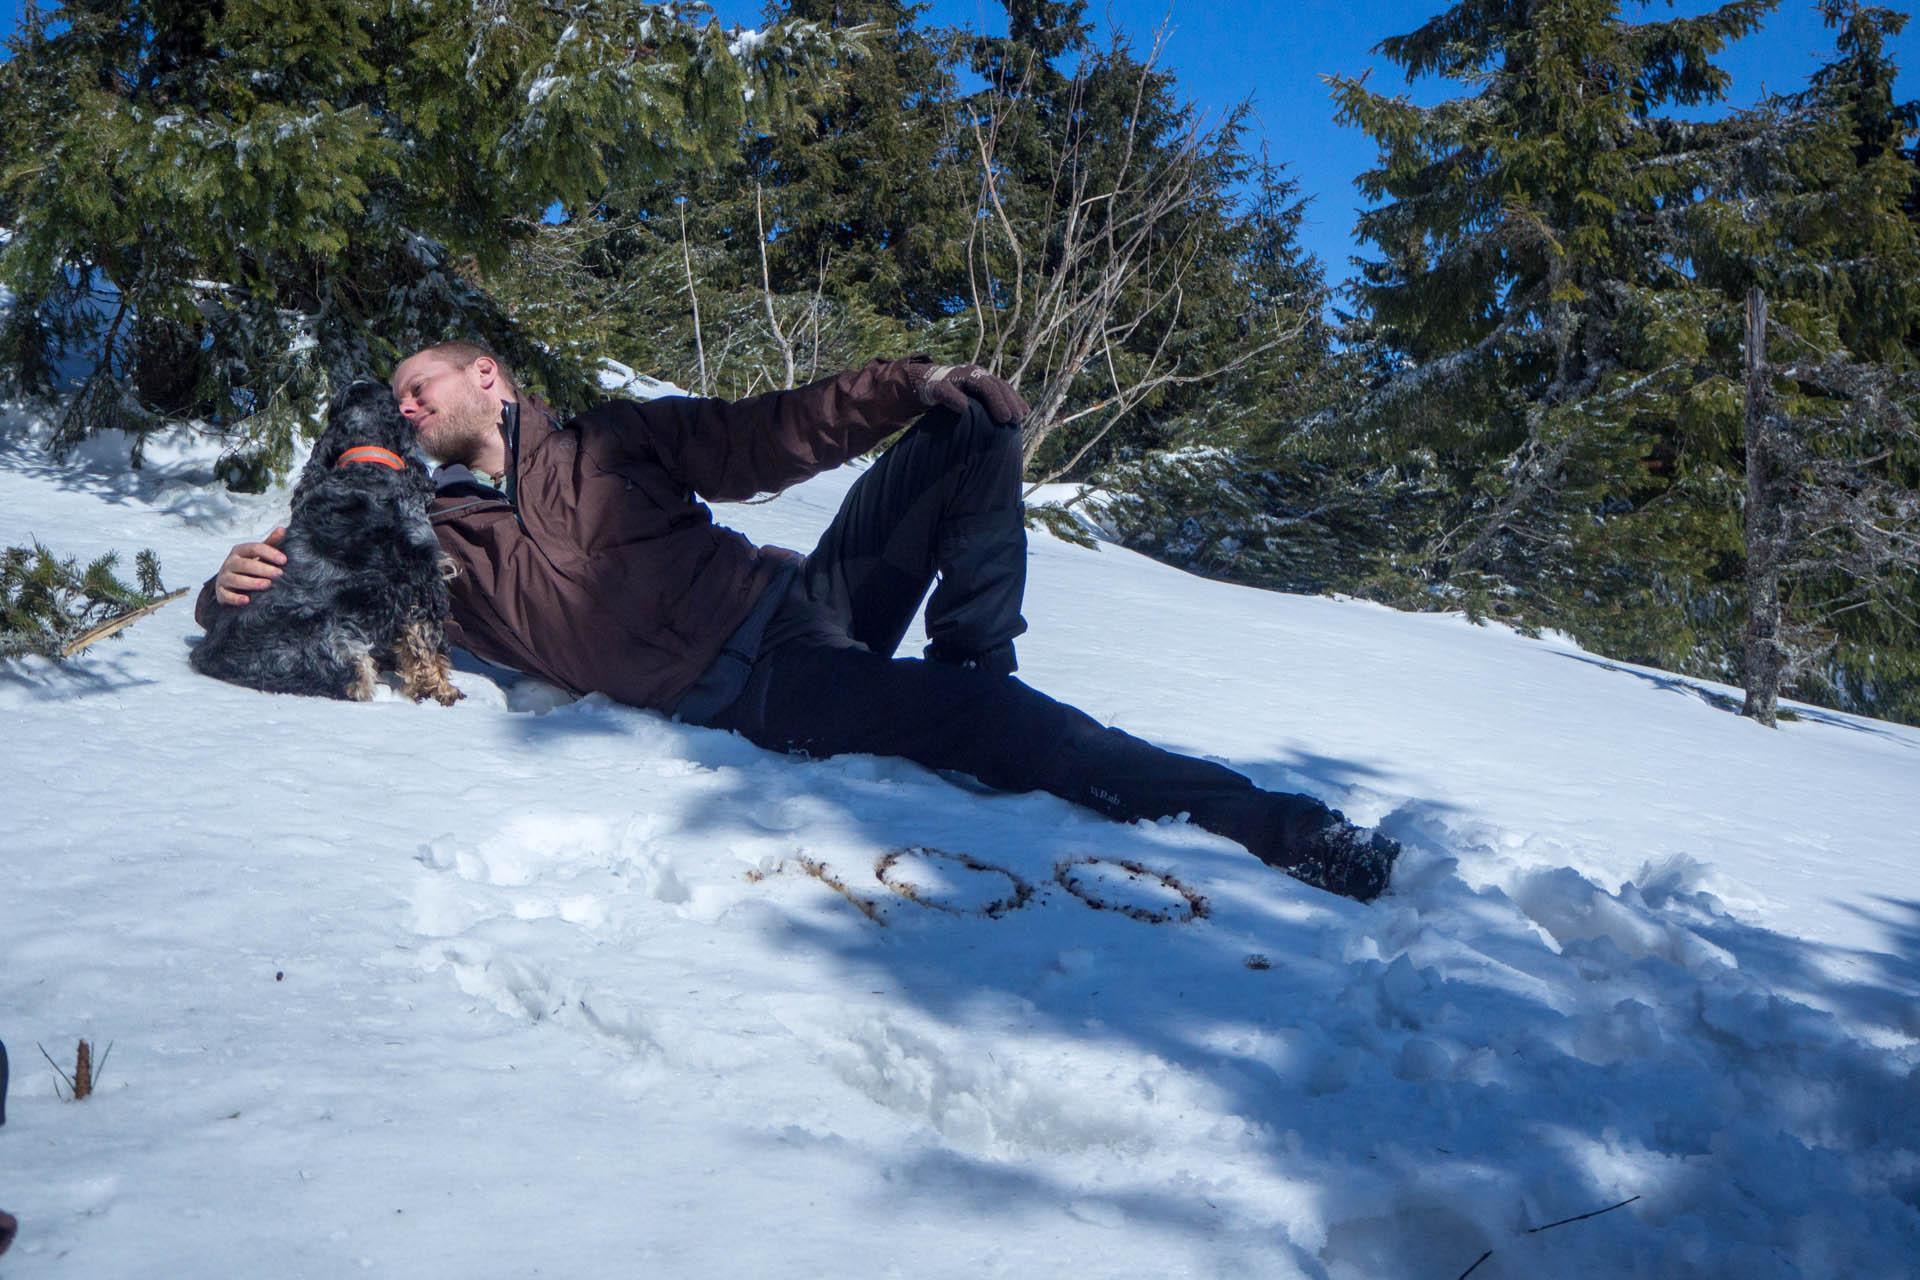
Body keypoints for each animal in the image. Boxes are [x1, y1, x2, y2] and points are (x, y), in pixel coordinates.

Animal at [189, 379, 466, 706]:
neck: (365, 463)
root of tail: (210, 659)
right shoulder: (422, 575)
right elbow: (427, 641)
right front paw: (441, 690)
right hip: (339, 643)